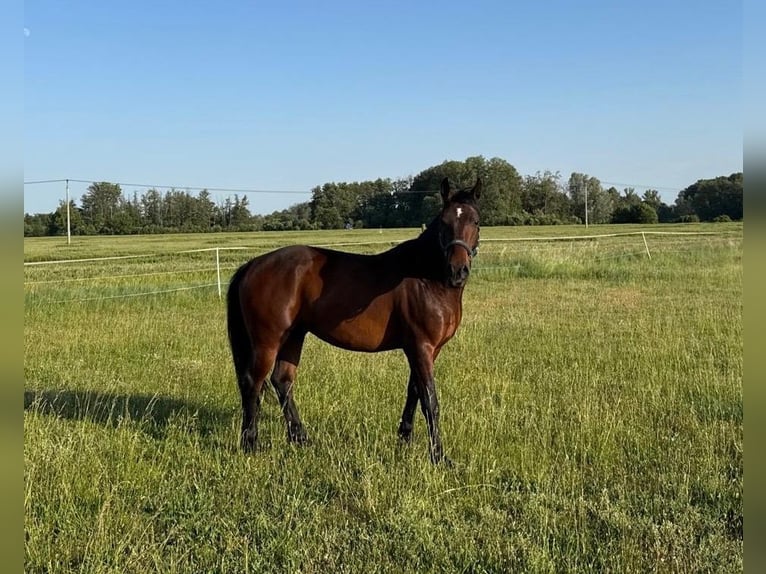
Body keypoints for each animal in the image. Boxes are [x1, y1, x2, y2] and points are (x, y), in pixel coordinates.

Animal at [226, 177, 481, 464]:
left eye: (475, 221)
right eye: (444, 222)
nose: (457, 271)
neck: (425, 277)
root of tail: (253, 264)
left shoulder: (427, 350)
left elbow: (414, 391)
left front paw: (404, 438)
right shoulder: (421, 347)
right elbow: (430, 400)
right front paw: (438, 456)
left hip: (293, 336)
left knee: (282, 381)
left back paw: (300, 438)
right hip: (267, 342)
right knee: (253, 383)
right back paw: (250, 444)